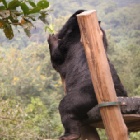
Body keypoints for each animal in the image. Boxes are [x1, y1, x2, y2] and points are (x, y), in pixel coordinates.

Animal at [47, 9, 127, 140]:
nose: (58, 31)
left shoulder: (68, 44)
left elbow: (56, 58)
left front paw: (52, 37)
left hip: (83, 95)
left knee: (66, 107)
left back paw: (69, 135)